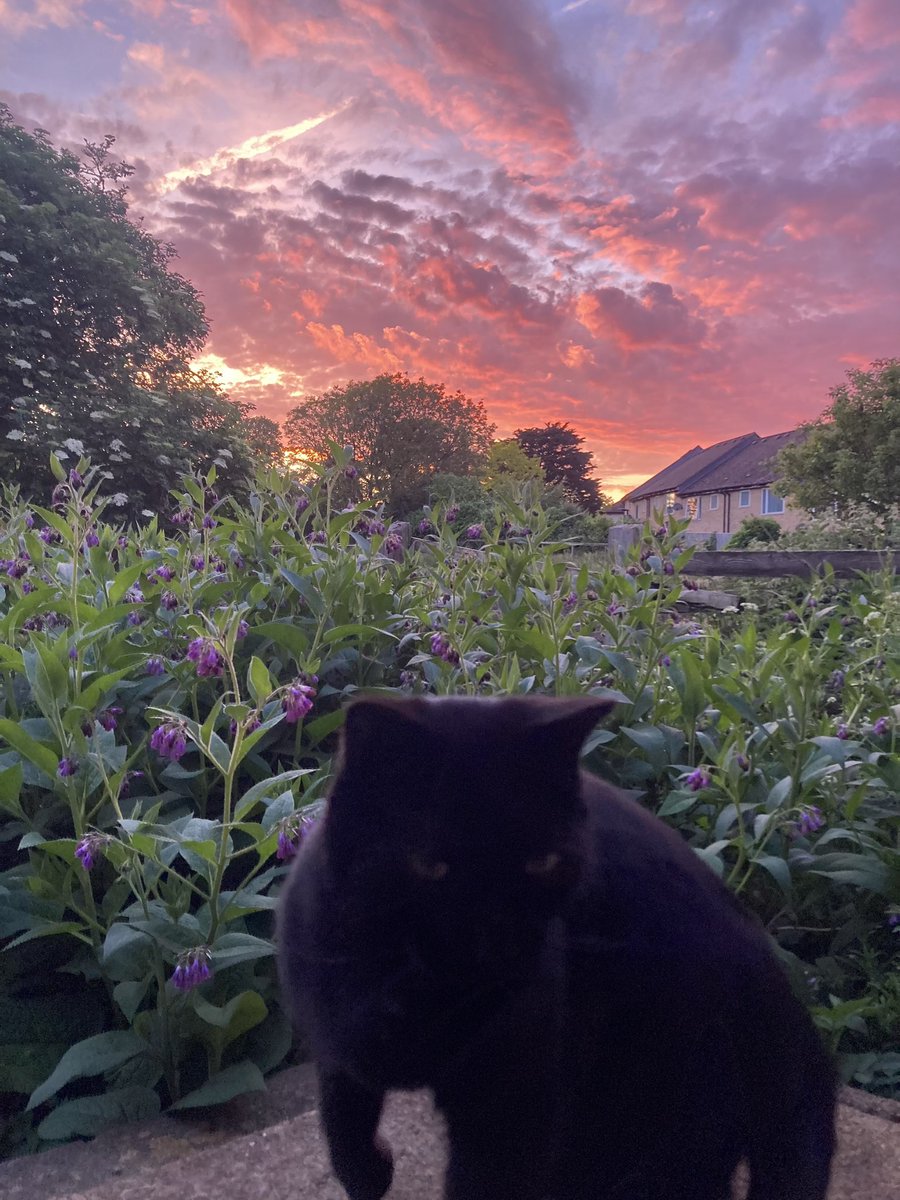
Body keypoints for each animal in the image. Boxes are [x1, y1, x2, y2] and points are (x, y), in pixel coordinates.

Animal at [277, 696, 840, 1200]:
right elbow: (342, 1115)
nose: (500, 937)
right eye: (430, 866)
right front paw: (368, 1173)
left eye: (543, 862)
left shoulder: (512, 1108)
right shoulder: (333, 1033)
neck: (407, 996)